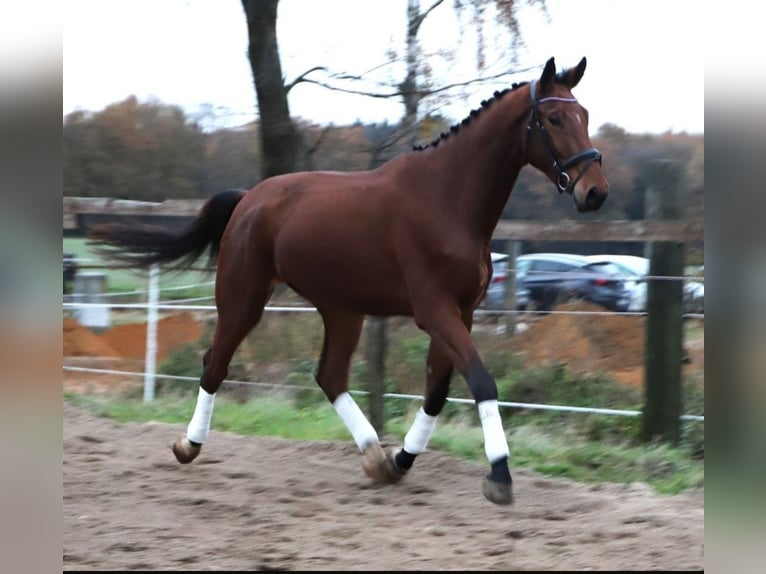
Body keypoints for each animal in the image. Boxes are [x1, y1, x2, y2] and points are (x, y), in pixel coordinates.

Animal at [87, 57, 608, 505]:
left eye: (584, 114)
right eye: (555, 119)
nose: (595, 192)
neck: (449, 200)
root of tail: (249, 198)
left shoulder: (462, 312)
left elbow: (437, 391)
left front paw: (401, 459)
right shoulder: (435, 311)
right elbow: (481, 380)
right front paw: (499, 474)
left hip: (342, 309)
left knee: (329, 375)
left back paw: (374, 456)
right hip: (244, 297)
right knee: (216, 363)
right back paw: (188, 445)